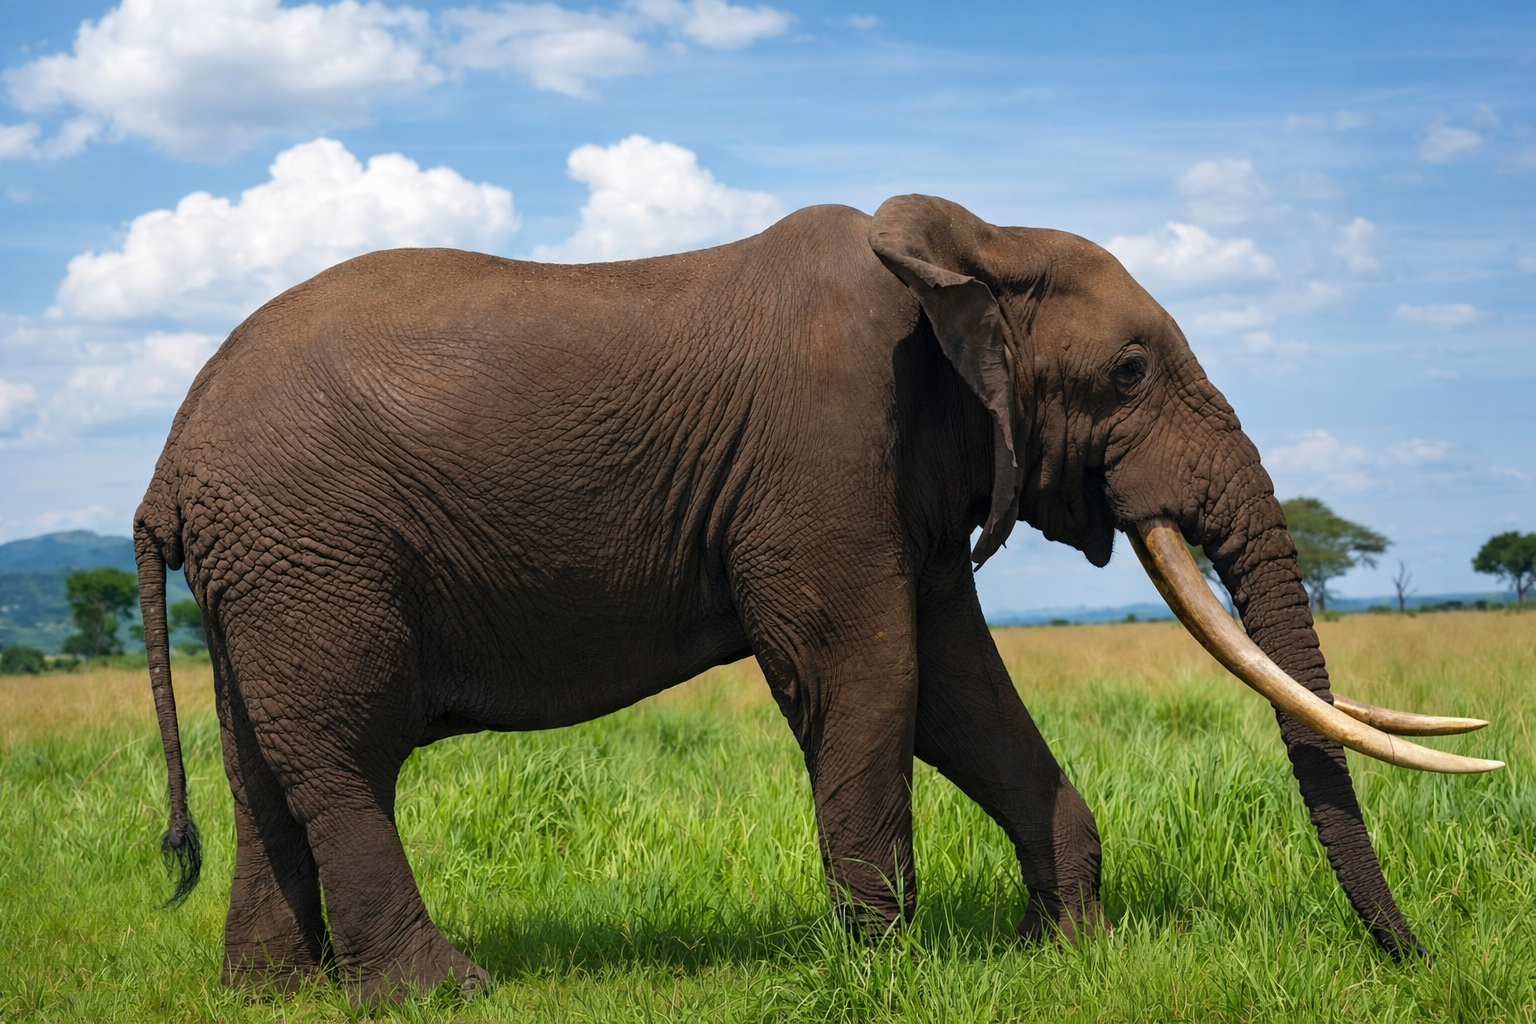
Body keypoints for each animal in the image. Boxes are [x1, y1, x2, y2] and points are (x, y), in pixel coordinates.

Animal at [135, 194, 1498, 1001]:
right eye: (1128, 372)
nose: (1416, 961)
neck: (972, 244)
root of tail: (168, 464)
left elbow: (959, 690)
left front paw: (1068, 950)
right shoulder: (826, 452)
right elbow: (871, 674)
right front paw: (890, 972)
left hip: (268, 569)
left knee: (266, 766)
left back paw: (271, 994)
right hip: (314, 552)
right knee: (343, 756)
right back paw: (441, 992)